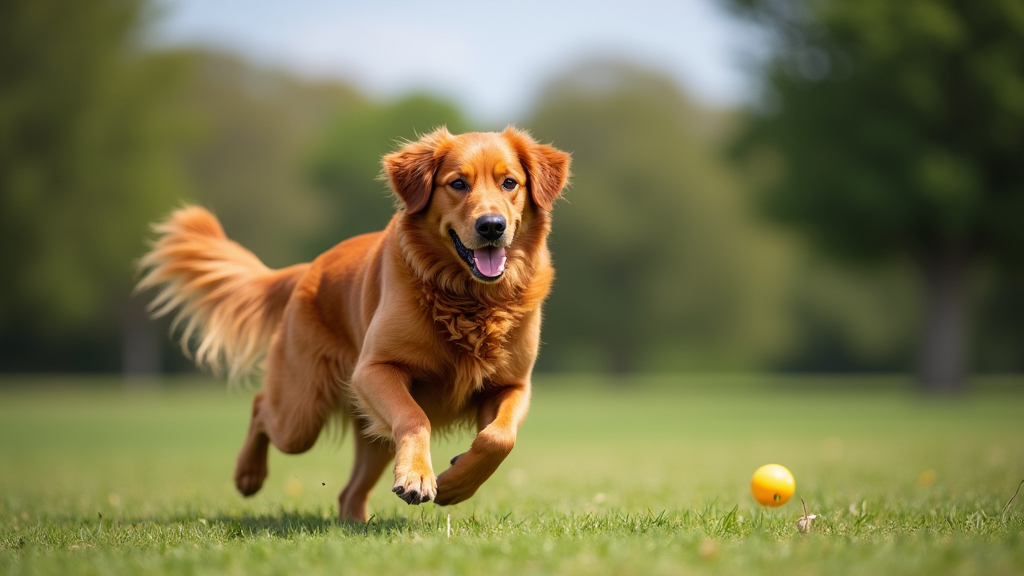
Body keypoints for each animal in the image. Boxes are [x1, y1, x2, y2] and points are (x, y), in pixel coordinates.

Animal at [135, 125, 569, 520]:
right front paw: (420, 477)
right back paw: (249, 475)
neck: (469, 299)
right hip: (301, 414)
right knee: (261, 407)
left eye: (509, 182)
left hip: (368, 433)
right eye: (457, 184)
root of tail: (308, 269)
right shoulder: (374, 369)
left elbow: (499, 438)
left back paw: (354, 527)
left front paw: (455, 483)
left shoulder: (513, 384)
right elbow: (416, 418)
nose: (491, 226)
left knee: (349, 492)